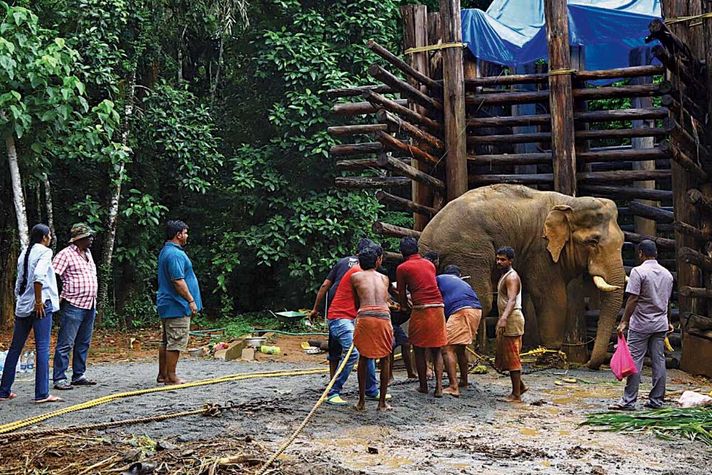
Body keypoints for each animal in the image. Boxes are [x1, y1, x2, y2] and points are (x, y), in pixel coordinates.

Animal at [420, 184, 624, 370]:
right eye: (593, 241)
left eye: (622, 241)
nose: (590, 364)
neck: (570, 202)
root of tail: (428, 235)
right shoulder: (541, 251)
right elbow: (552, 297)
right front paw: (551, 360)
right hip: (468, 253)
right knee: (480, 301)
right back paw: (471, 363)